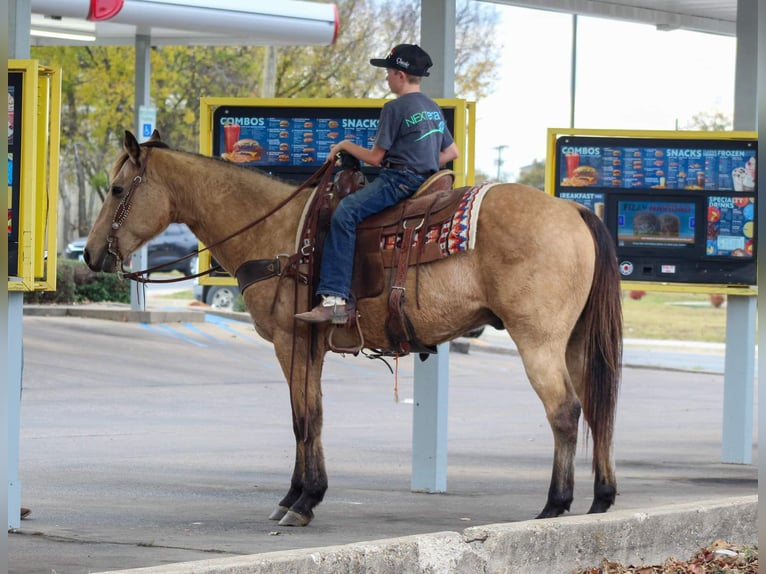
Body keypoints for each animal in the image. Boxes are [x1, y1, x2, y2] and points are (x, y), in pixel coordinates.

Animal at [84, 130, 624, 528]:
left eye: (116, 189)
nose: (89, 255)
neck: (279, 234)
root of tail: (574, 210)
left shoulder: (290, 342)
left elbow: (303, 419)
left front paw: (303, 500)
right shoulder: (311, 347)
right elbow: (314, 416)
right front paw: (300, 495)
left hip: (538, 340)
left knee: (565, 410)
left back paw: (555, 505)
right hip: (575, 342)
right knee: (598, 408)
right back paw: (600, 499)